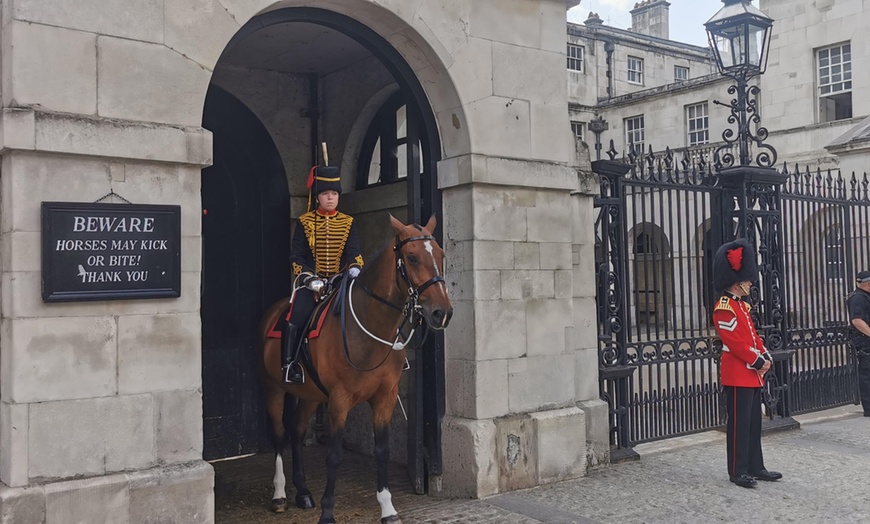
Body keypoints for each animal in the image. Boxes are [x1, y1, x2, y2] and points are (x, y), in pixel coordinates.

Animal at [258, 214, 450, 524]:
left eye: (441, 254)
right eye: (412, 257)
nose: (441, 312)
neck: (371, 326)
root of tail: (274, 311)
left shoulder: (385, 398)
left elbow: (382, 451)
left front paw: (387, 507)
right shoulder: (339, 400)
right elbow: (334, 455)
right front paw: (328, 512)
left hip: (311, 395)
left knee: (297, 430)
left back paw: (303, 492)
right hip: (273, 388)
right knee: (278, 434)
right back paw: (280, 495)